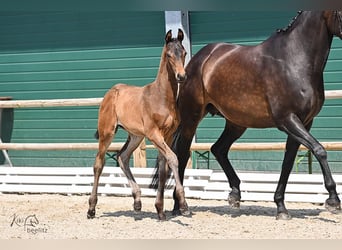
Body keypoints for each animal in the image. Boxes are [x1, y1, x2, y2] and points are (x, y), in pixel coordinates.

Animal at [87, 29, 187, 221]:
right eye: (169, 55)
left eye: (184, 53)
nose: (181, 76)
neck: (162, 97)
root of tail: (111, 91)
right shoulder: (154, 133)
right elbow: (173, 159)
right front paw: (184, 204)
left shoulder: (168, 135)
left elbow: (163, 168)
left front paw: (160, 210)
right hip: (107, 132)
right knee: (99, 163)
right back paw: (91, 209)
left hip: (135, 136)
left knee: (122, 157)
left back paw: (137, 200)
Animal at [170, 10, 340, 220]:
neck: (294, 60)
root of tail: (197, 60)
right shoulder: (288, 120)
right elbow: (319, 150)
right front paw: (333, 200)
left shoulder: (304, 123)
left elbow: (288, 162)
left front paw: (281, 207)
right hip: (191, 119)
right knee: (182, 154)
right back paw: (179, 206)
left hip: (236, 123)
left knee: (219, 149)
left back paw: (234, 195)